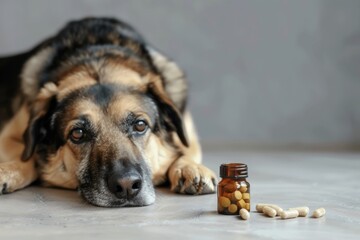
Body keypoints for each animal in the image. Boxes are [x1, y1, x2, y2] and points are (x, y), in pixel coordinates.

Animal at [0, 17, 215, 207]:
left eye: (140, 125)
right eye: (77, 134)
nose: (127, 185)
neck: (97, 59)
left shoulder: (189, 136)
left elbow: (186, 150)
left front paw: (190, 168)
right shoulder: (8, 137)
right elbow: (30, 158)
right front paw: (9, 169)